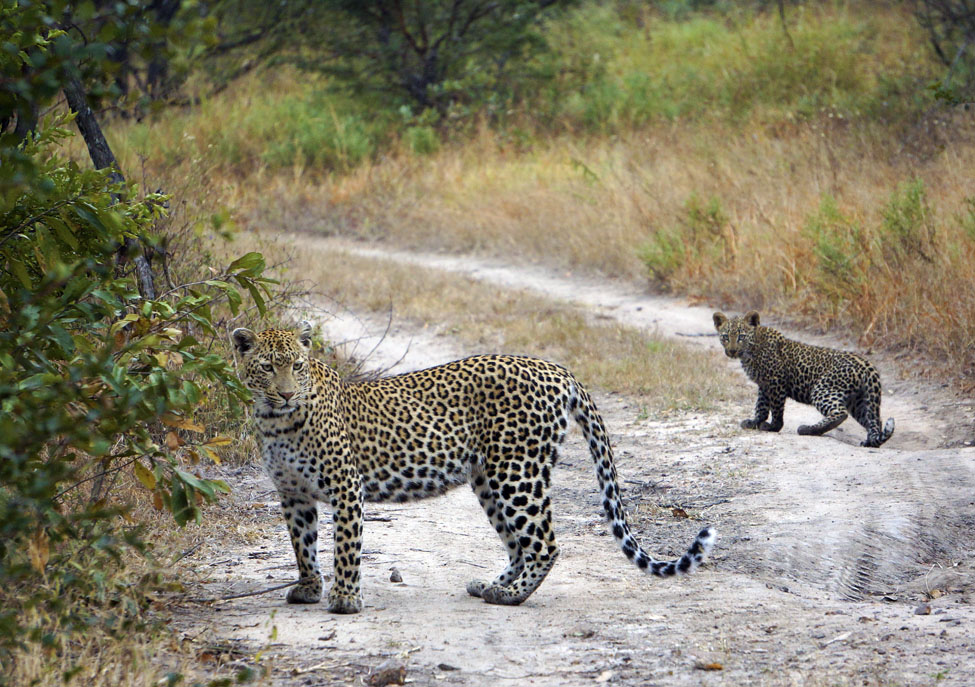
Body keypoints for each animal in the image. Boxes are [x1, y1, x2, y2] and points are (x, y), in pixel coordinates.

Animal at [231, 321, 716, 614]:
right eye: (266, 368)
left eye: (296, 366)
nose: (286, 394)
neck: (276, 421)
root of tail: (558, 369)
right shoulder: (293, 493)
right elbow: (303, 545)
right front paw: (308, 588)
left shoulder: (347, 487)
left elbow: (346, 547)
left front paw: (346, 599)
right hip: (490, 478)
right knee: (520, 545)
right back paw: (490, 586)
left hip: (517, 471)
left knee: (544, 544)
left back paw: (510, 596)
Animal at [713, 310, 895, 448]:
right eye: (725, 337)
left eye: (741, 337)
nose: (732, 351)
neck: (751, 350)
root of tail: (867, 365)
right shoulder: (764, 385)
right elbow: (761, 406)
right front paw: (755, 422)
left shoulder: (775, 382)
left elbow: (776, 409)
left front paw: (772, 427)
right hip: (860, 401)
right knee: (874, 422)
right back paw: (870, 442)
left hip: (823, 389)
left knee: (840, 413)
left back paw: (808, 429)